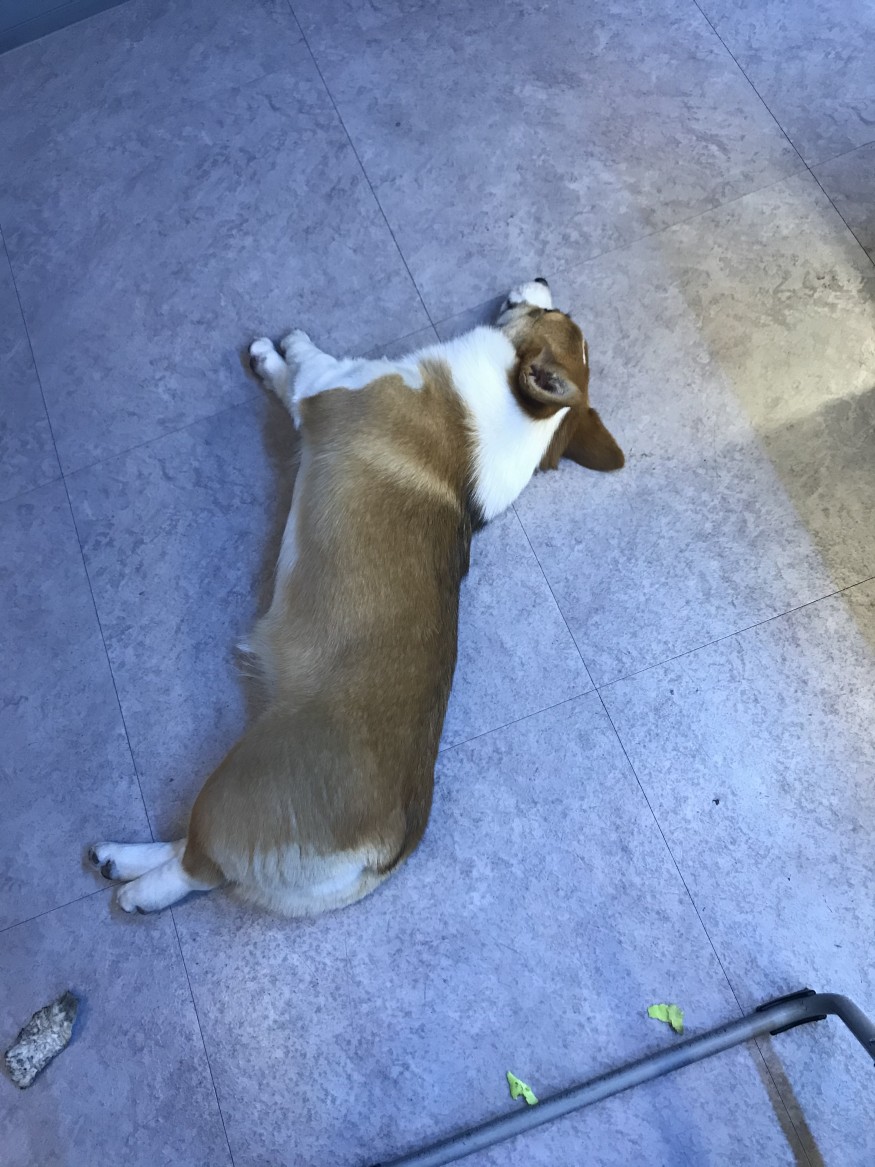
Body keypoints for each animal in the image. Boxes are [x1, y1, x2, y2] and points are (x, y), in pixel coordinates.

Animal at [88, 279, 623, 915]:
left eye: (554, 312)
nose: (541, 277)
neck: (513, 413)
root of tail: (383, 848)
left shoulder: (327, 385)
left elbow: (298, 367)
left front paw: (275, 349)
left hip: (232, 786)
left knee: (197, 864)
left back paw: (137, 884)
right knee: (204, 862)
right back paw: (122, 860)